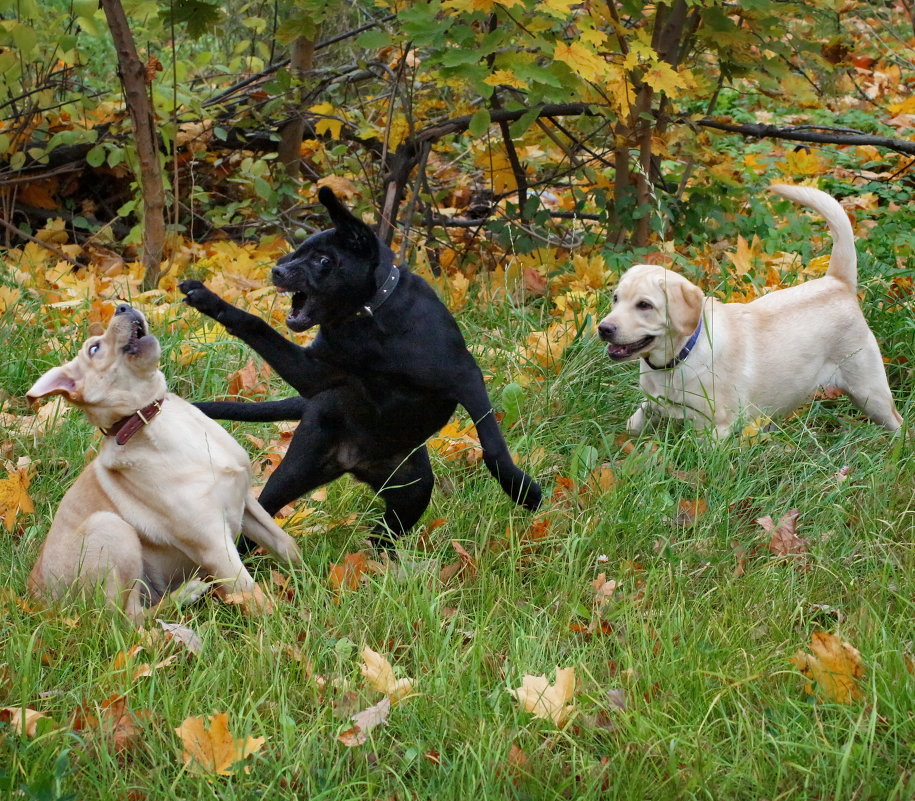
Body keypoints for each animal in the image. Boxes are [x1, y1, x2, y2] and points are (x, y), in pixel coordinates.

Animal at [26, 304, 300, 620]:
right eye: (94, 348)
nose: (122, 305)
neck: (152, 418)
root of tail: (40, 600)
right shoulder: (212, 542)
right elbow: (252, 594)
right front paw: (281, 622)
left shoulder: (246, 502)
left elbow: (285, 543)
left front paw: (308, 572)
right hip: (111, 528)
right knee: (128, 618)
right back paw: (185, 594)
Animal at [181, 188, 544, 548]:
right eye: (296, 254)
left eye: (323, 261)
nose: (277, 272)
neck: (368, 320)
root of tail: (354, 463)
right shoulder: (316, 374)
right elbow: (256, 324)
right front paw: (210, 300)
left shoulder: (465, 377)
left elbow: (492, 444)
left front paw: (523, 490)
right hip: (297, 469)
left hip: (411, 491)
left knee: (385, 532)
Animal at [596, 185, 904, 438]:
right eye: (615, 299)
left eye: (644, 305)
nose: (603, 328)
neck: (678, 358)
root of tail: (838, 282)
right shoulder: (653, 404)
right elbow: (633, 425)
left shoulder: (715, 428)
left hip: (870, 392)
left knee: (897, 422)